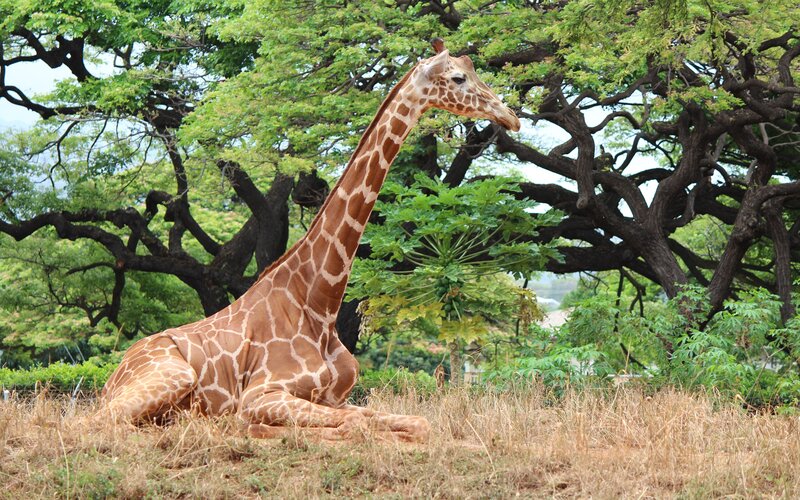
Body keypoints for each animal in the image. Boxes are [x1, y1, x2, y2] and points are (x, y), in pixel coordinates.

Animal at [100, 39, 520, 442]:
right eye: (458, 78)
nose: (510, 116)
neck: (319, 304)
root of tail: (111, 379)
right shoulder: (260, 395)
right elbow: (353, 425)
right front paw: (250, 429)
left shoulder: (339, 398)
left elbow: (413, 423)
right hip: (172, 377)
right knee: (102, 423)